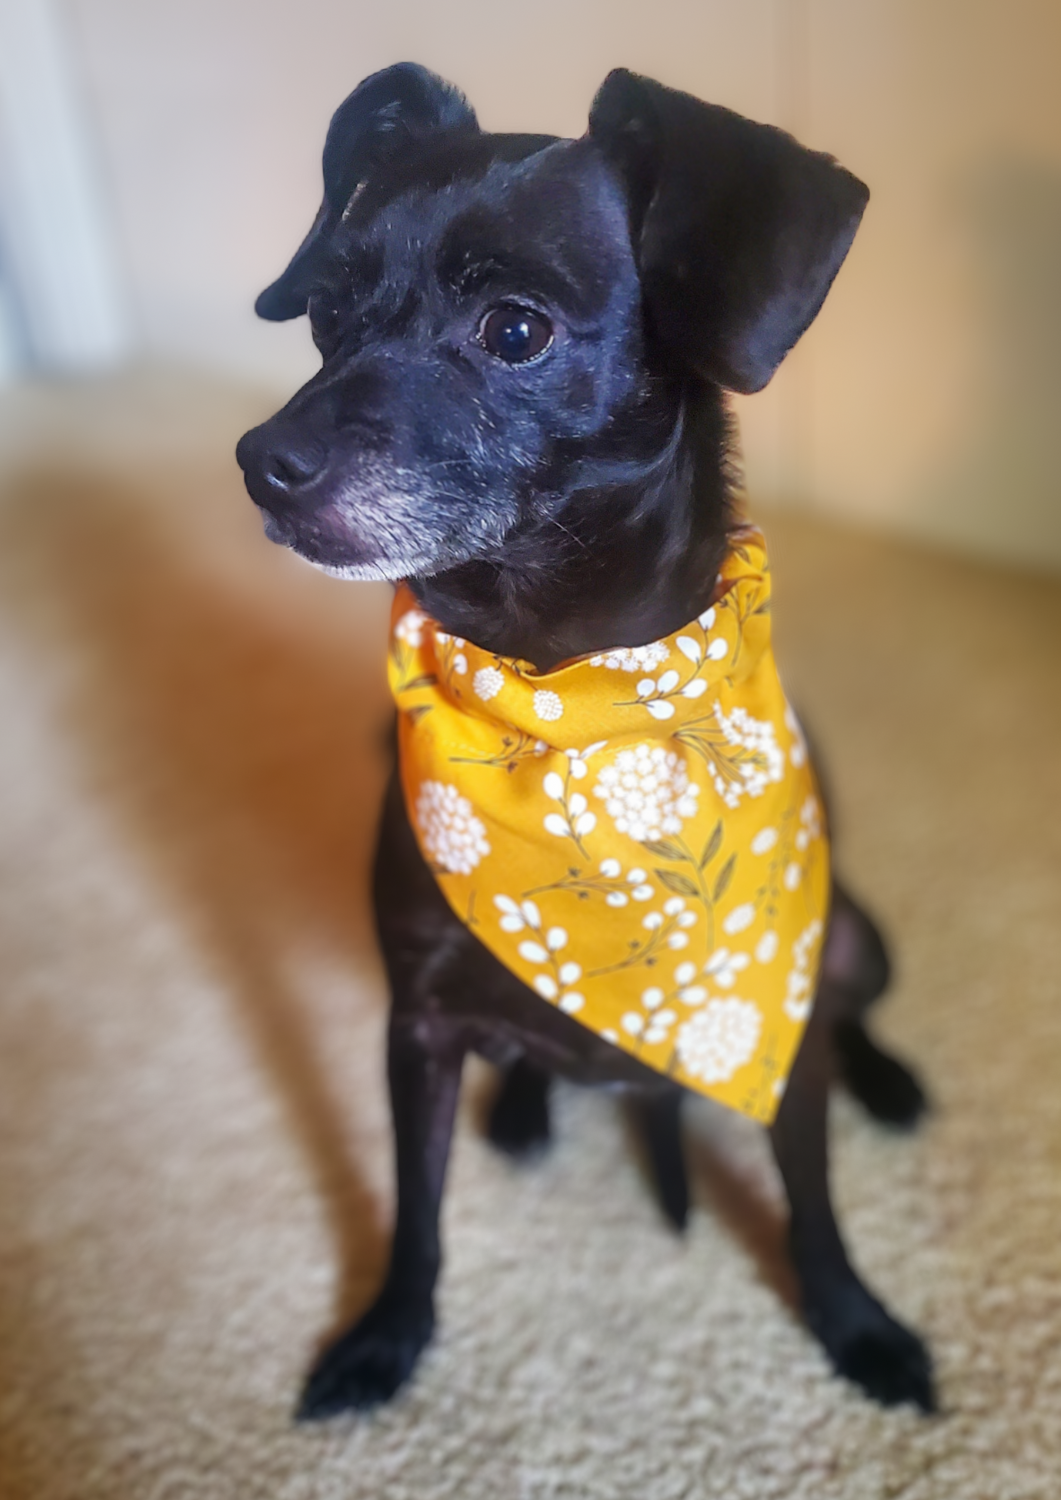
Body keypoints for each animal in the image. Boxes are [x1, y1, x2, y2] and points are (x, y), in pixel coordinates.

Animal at [237, 58, 936, 1416]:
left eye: (514, 330)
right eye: (328, 313)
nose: (260, 463)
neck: (567, 698)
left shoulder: (777, 1017)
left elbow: (812, 1201)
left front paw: (855, 1326)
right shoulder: (417, 1025)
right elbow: (415, 1210)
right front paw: (386, 1337)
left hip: (851, 940)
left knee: (850, 1012)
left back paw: (884, 1082)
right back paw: (525, 1103)